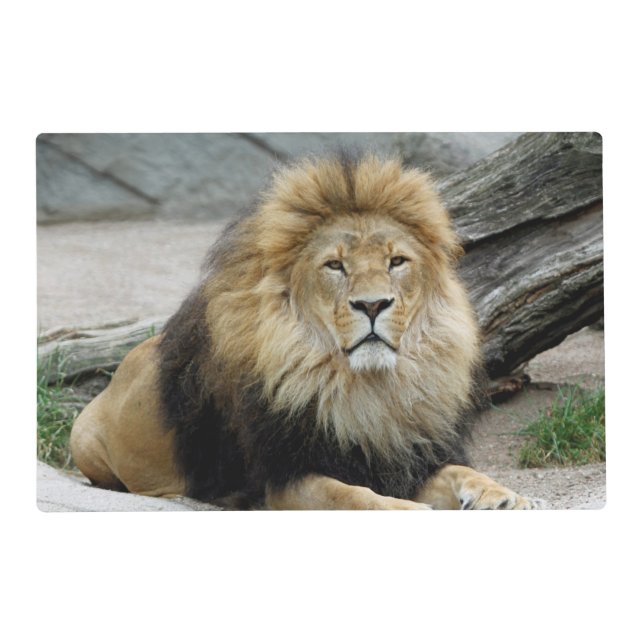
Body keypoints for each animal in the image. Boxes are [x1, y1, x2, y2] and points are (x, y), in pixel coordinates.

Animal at [70, 152, 543, 510]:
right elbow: (350, 495)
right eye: (335, 265)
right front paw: (405, 509)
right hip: (84, 441)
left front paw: (503, 496)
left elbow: (461, 470)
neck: (370, 389)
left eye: (396, 262)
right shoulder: (280, 479)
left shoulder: (404, 454)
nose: (373, 304)